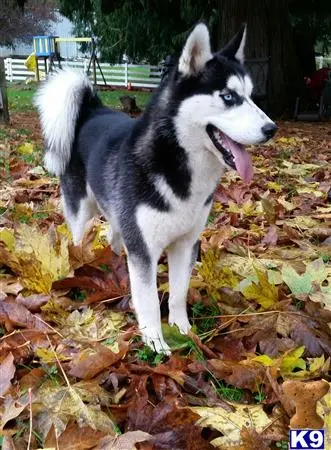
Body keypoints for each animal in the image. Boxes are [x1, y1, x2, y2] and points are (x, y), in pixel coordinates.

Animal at [35, 23, 278, 352]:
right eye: (228, 96)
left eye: (251, 96)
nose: (271, 129)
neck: (178, 164)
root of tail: (93, 110)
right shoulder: (143, 249)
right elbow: (149, 299)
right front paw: (155, 342)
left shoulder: (186, 244)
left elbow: (178, 293)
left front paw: (183, 330)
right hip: (81, 211)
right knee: (77, 239)